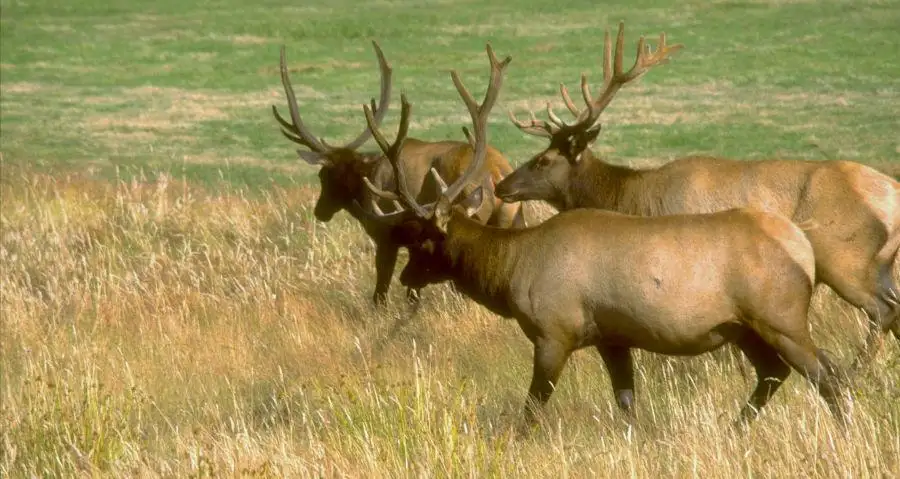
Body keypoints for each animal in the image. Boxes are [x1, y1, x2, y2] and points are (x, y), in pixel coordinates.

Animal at [272, 41, 526, 306]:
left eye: (323, 176)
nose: (320, 211)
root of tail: (497, 172)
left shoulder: (385, 236)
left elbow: (382, 292)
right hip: (513, 218)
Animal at [356, 42, 851, 431]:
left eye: (423, 238)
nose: (406, 279)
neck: (513, 268)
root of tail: (803, 249)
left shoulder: (554, 332)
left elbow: (531, 410)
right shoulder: (613, 336)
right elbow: (627, 403)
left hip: (780, 317)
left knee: (829, 374)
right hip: (743, 327)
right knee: (775, 374)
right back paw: (734, 429)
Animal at [498, 22, 900, 370]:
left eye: (543, 160)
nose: (503, 186)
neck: (633, 197)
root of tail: (891, 193)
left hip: (845, 258)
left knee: (882, 310)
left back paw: (857, 371)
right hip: (879, 265)